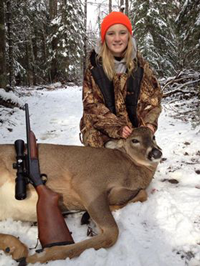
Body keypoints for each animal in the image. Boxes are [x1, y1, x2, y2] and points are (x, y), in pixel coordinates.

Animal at [0, 126, 162, 264]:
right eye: (135, 140)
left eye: (153, 136)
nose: (157, 152)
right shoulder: (88, 182)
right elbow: (112, 233)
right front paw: (43, 255)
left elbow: (142, 194)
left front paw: (88, 215)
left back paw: (15, 249)